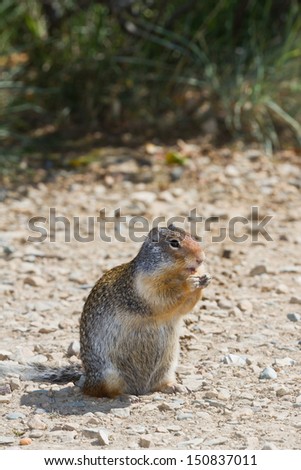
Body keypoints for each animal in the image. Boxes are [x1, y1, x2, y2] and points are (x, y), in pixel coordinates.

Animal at [0, 224, 211, 396]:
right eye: (174, 243)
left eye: (192, 235)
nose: (201, 258)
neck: (173, 274)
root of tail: (86, 374)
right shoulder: (144, 287)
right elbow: (163, 298)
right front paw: (190, 283)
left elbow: (184, 308)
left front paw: (205, 278)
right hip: (109, 375)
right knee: (93, 391)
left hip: (167, 367)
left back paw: (174, 386)